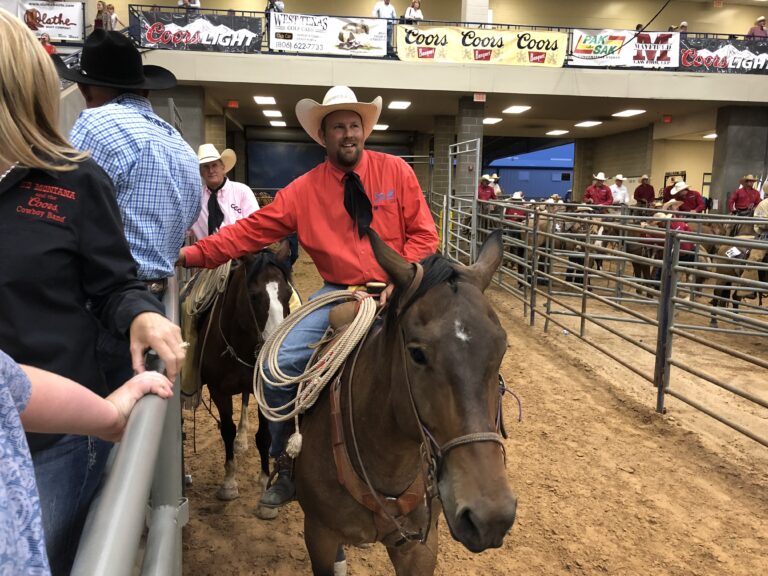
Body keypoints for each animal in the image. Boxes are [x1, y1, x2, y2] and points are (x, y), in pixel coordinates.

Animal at [196, 241, 292, 502]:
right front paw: (229, 483)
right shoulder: (218, 390)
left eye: (288, 294)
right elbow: (226, 430)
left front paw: (265, 482)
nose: (273, 348)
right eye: (254, 296)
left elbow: (264, 436)